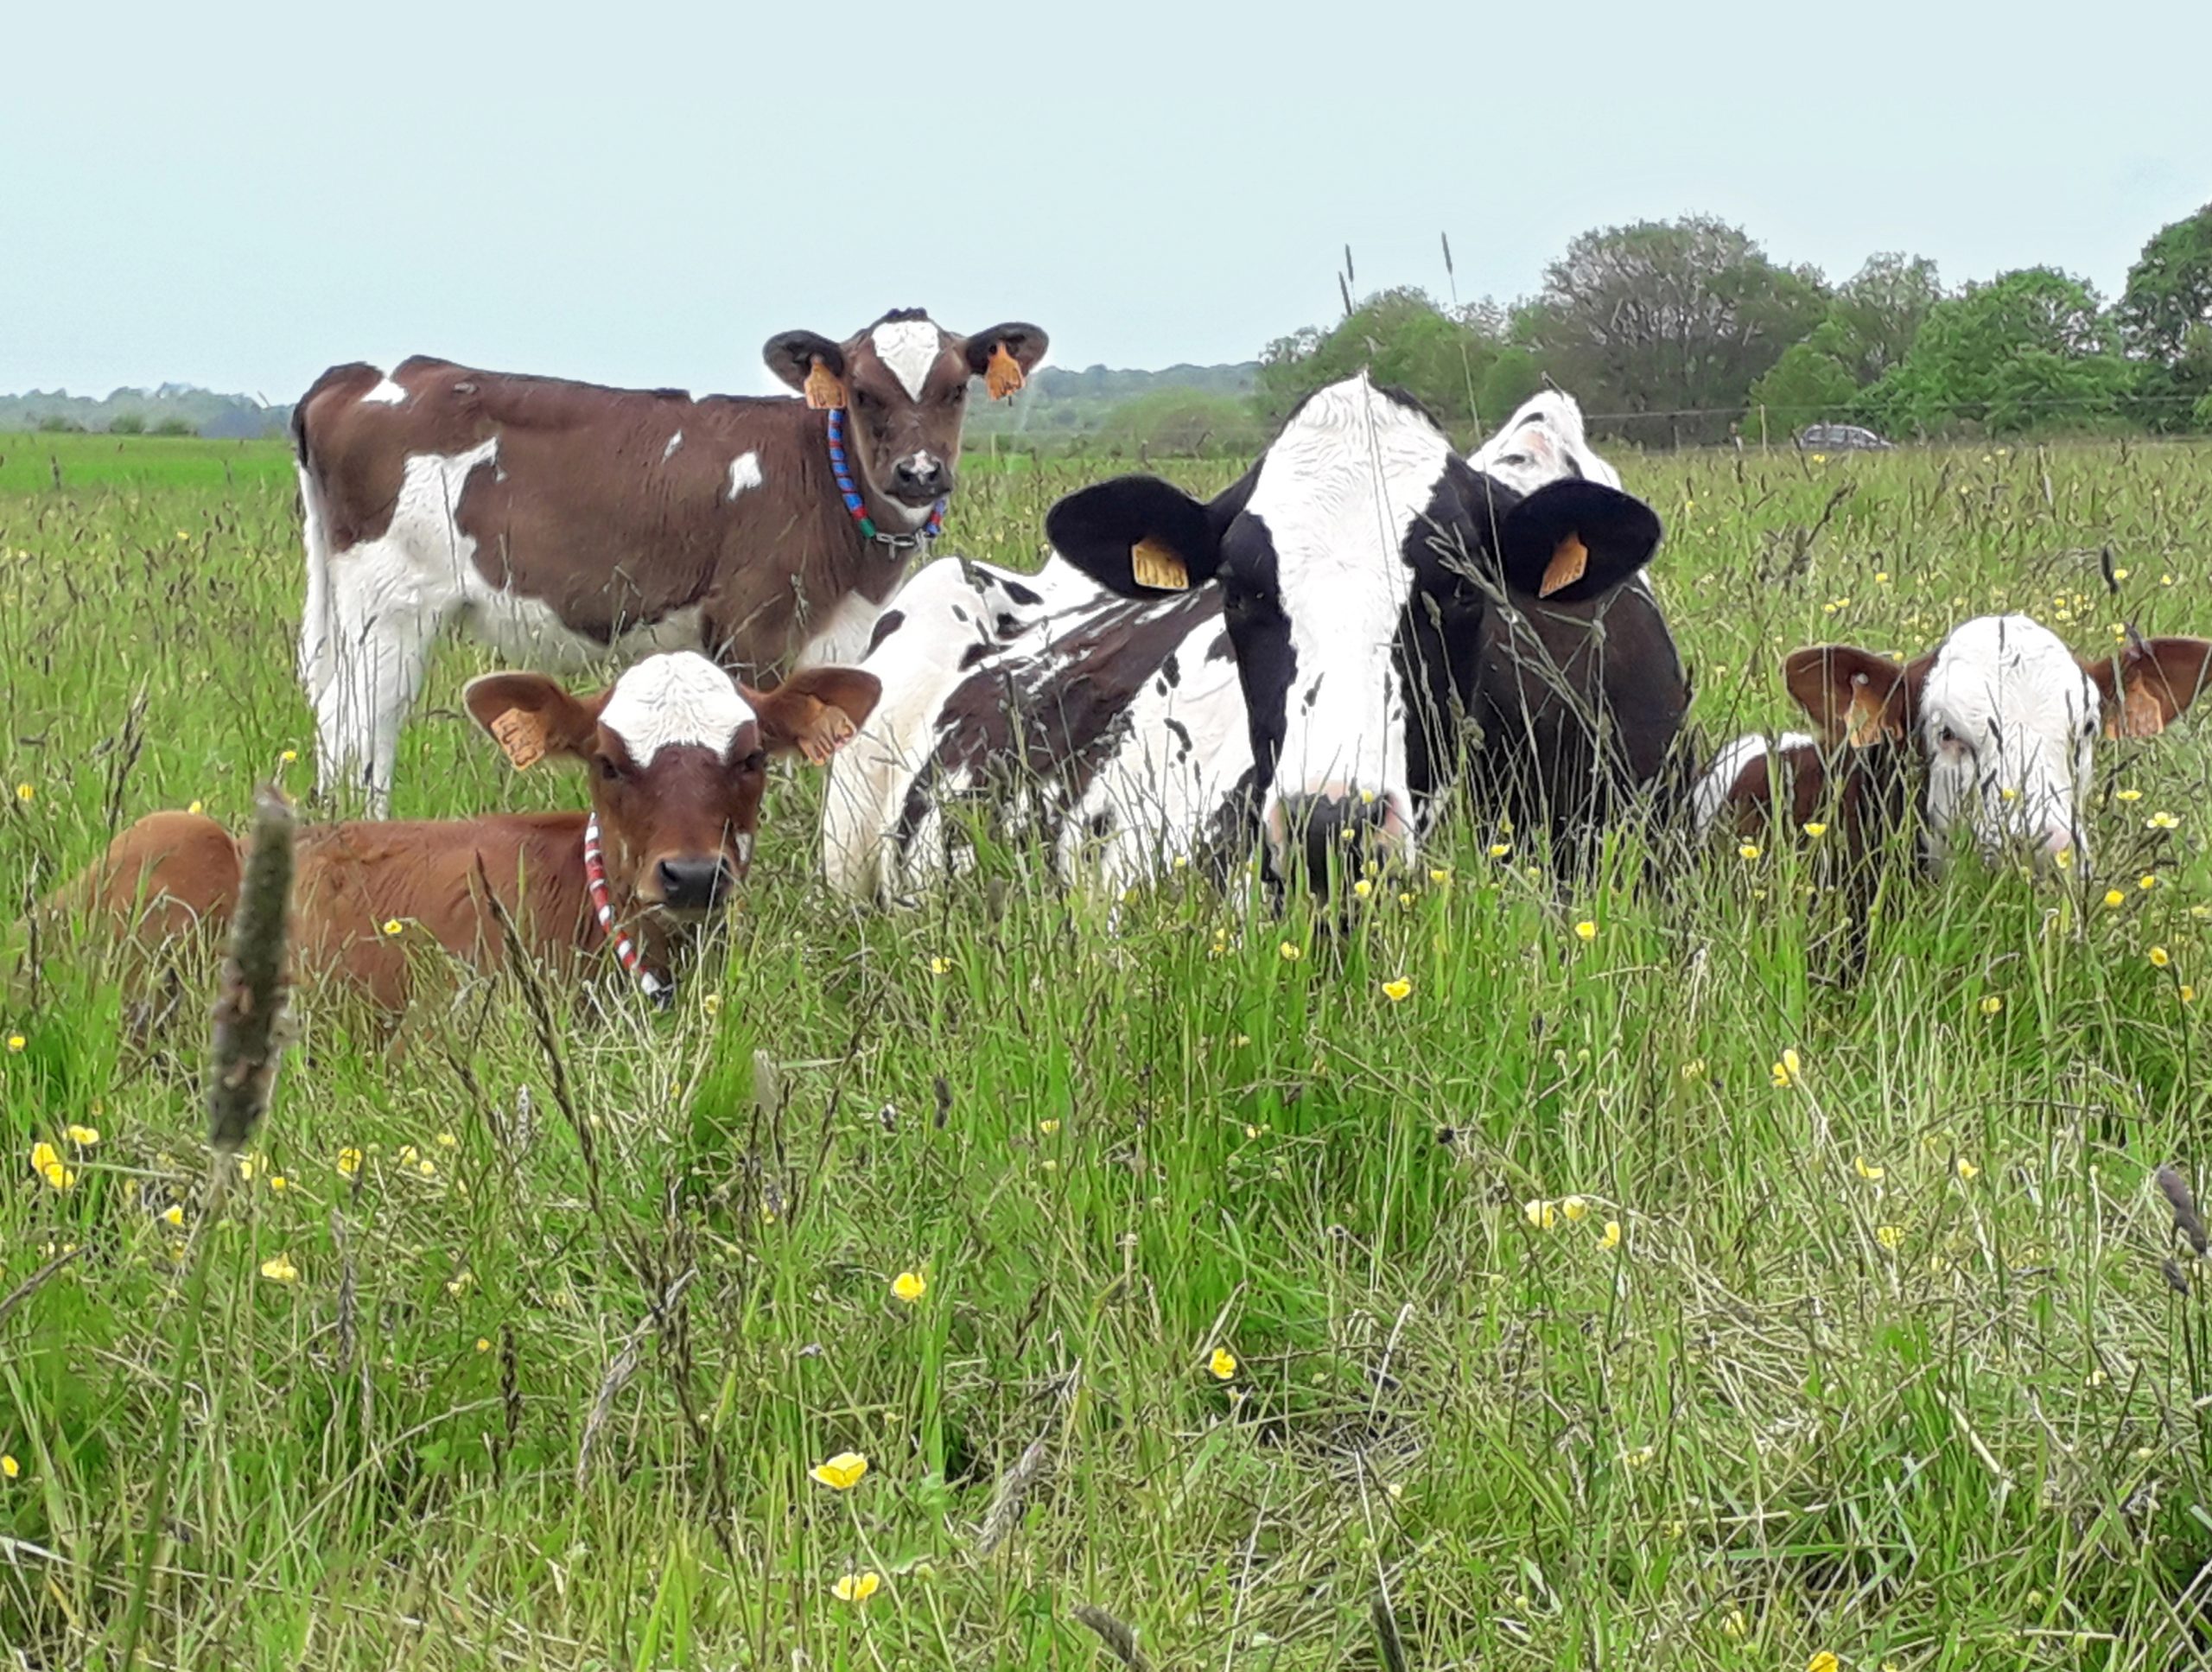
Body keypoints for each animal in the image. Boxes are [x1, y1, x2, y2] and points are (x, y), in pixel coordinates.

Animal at [293, 309, 1047, 813]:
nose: (919, 473)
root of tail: (361, 374)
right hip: (390, 605)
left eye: (956, 389)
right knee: (356, 726)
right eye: (863, 393)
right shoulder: (751, 627)